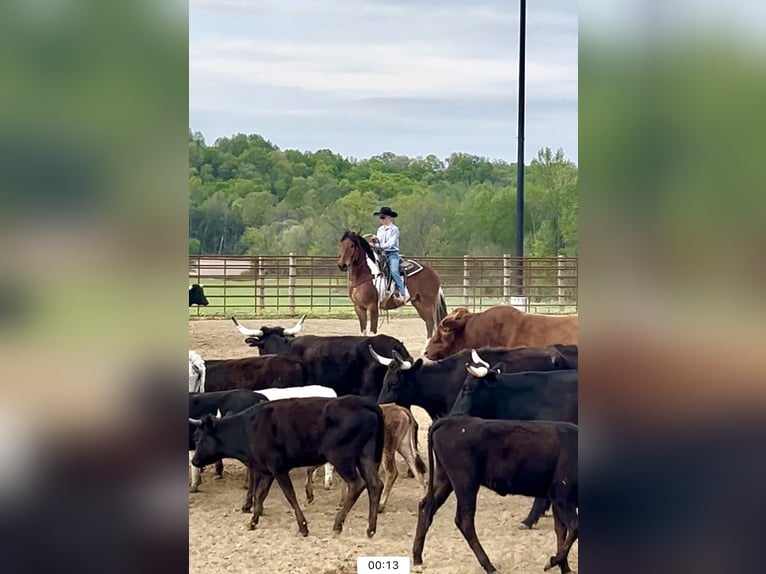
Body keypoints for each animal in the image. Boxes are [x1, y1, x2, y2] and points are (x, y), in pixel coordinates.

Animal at [190, 396, 384, 540]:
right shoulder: (267, 471)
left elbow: (289, 495)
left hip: (341, 457)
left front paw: (303, 527)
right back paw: (371, 529)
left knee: (356, 484)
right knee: (375, 485)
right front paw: (253, 521)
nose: (194, 461)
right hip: (364, 456)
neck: (247, 428)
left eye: (198, 437)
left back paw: (338, 524)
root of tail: (363, 402)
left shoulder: (278, 467)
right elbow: (260, 494)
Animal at [416, 418, 580, 574]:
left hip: (445, 479)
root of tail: (451, 421)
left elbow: (561, 532)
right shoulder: (563, 499)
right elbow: (573, 528)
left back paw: (417, 559)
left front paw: (564, 568)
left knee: (426, 507)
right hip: (466, 484)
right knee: (464, 521)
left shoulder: (557, 500)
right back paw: (489, 566)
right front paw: (552, 562)